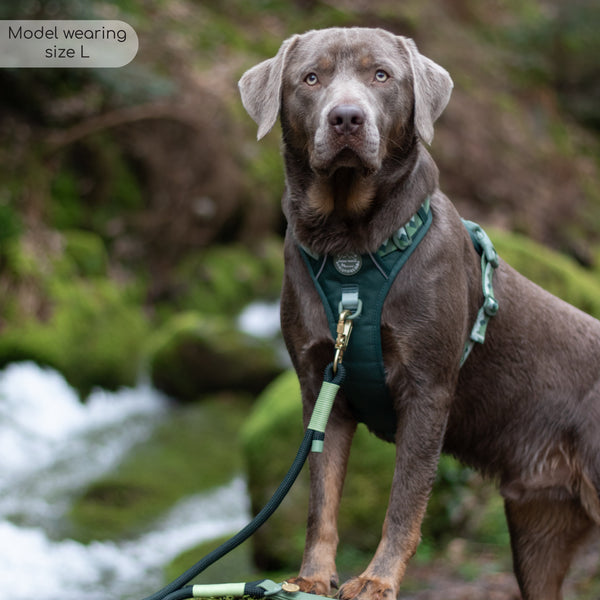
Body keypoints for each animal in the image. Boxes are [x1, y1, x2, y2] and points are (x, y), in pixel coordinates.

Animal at [238, 25, 600, 596]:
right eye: (310, 78)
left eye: (382, 75)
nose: (346, 118)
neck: (350, 249)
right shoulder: (321, 385)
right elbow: (321, 498)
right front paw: (312, 577)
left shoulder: (427, 388)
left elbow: (405, 501)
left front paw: (376, 579)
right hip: (538, 530)